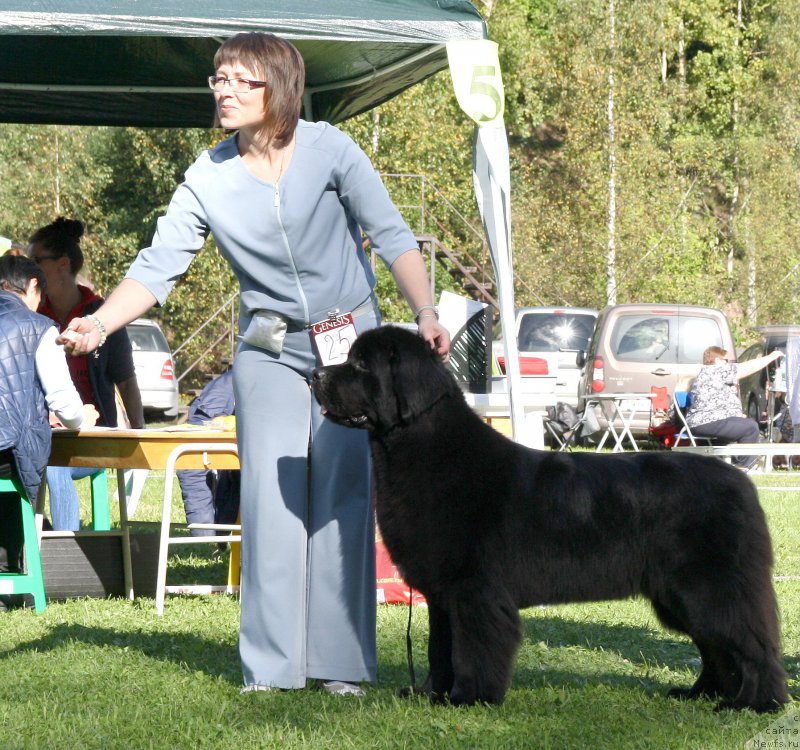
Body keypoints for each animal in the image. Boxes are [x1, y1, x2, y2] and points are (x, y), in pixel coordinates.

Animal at [310, 326, 788, 712]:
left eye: (359, 364)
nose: (315, 375)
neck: (423, 452)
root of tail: (741, 483)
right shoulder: (444, 593)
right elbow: (439, 648)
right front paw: (429, 694)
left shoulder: (474, 589)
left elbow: (472, 649)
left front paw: (468, 698)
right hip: (679, 596)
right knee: (716, 648)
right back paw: (700, 695)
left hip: (712, 587)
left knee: (752, 644)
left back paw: (753, 704)